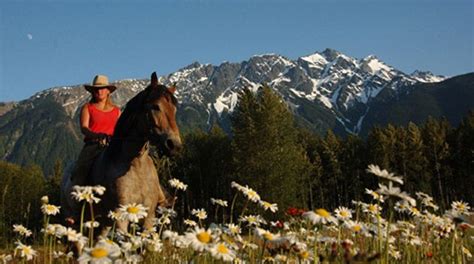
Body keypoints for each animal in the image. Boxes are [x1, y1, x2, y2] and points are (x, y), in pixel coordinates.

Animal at [60, 71, 182, 234]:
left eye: (174, 109)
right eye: (156, 106)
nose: (174, 145)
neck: (134, 165)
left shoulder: (149, 217)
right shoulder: (121, 216)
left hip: (104, 222)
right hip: (74, 222)